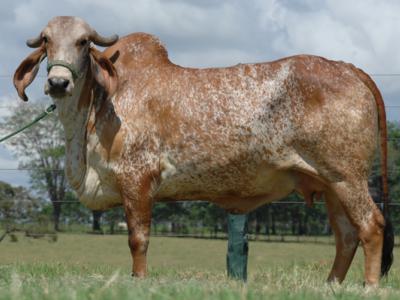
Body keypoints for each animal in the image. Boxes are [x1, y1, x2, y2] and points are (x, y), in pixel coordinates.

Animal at [13, 17, 394, 286]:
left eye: (83, 42)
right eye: (46, 41)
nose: (58, 82)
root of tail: (348, 68)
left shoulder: (137, 179)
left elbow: (138, 238)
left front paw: (139, 280)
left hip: (348, 178)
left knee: (372, 226)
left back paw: (369, 286)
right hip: (330, 184)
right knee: (346, 236)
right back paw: (331, 285)